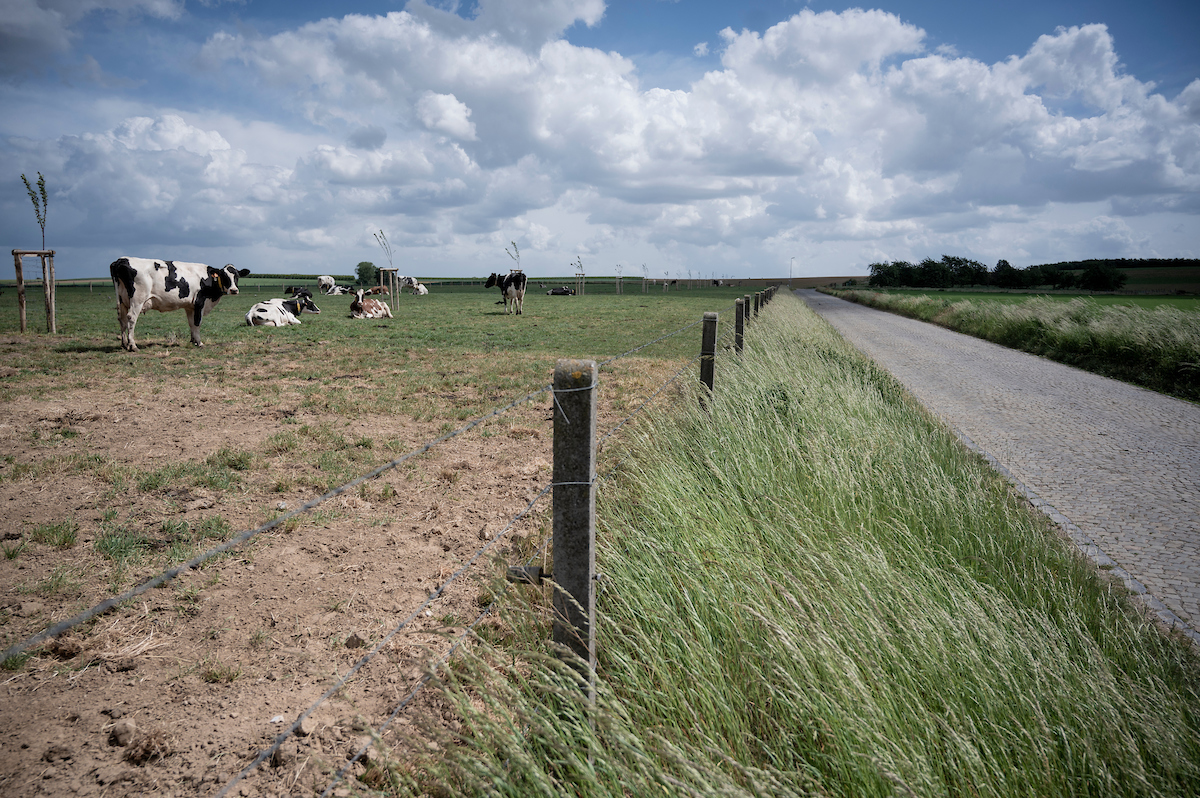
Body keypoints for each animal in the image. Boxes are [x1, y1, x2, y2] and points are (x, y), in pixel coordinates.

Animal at [110, 258, 248, 352]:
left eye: (237, 276)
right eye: (224, 276)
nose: (234, 290)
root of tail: (121, 260)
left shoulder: (190, 306)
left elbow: (191, 323)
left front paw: (193, 341)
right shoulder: (200, 302)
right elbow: (197, 323)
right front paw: (200, 343)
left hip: (122, 300)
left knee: (122, 319)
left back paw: (124, 344)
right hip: (137, 300)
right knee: (131, 318)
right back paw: (133, 345)